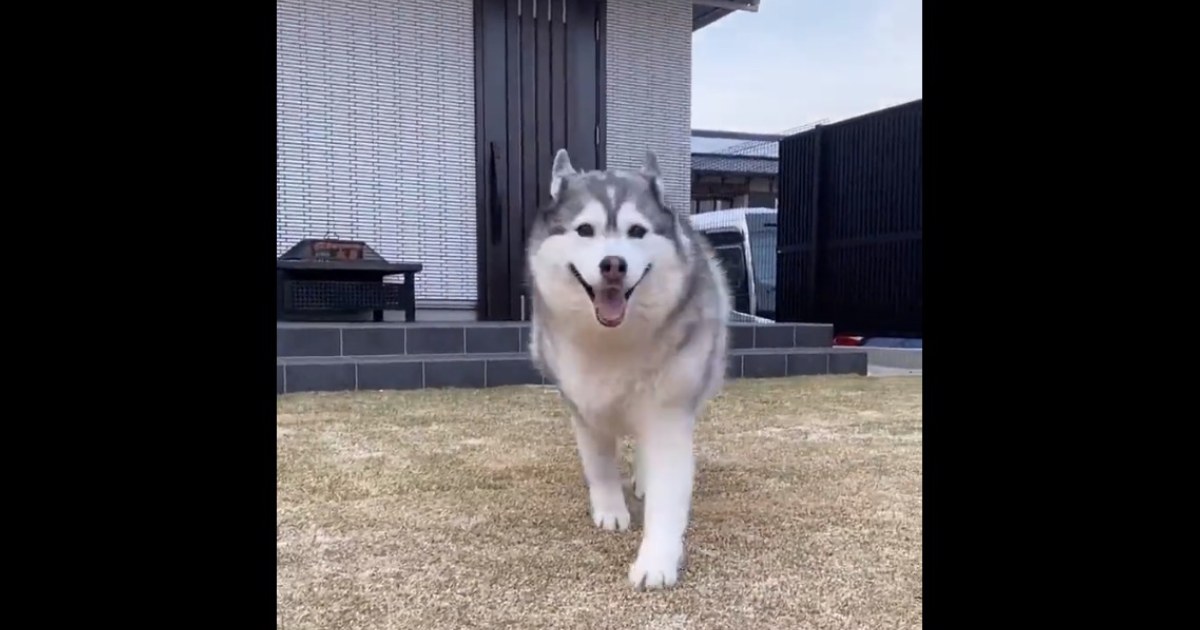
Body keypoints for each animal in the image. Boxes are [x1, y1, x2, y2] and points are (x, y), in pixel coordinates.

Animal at [528, 148, 729, 590]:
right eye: (585, 230)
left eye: (637, 231)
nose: (613, 264)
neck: (615, 340)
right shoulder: (585, 407)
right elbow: (601, 465)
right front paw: (609, 510)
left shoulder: (669, 415)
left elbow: (668, 493)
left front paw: (657, 559)